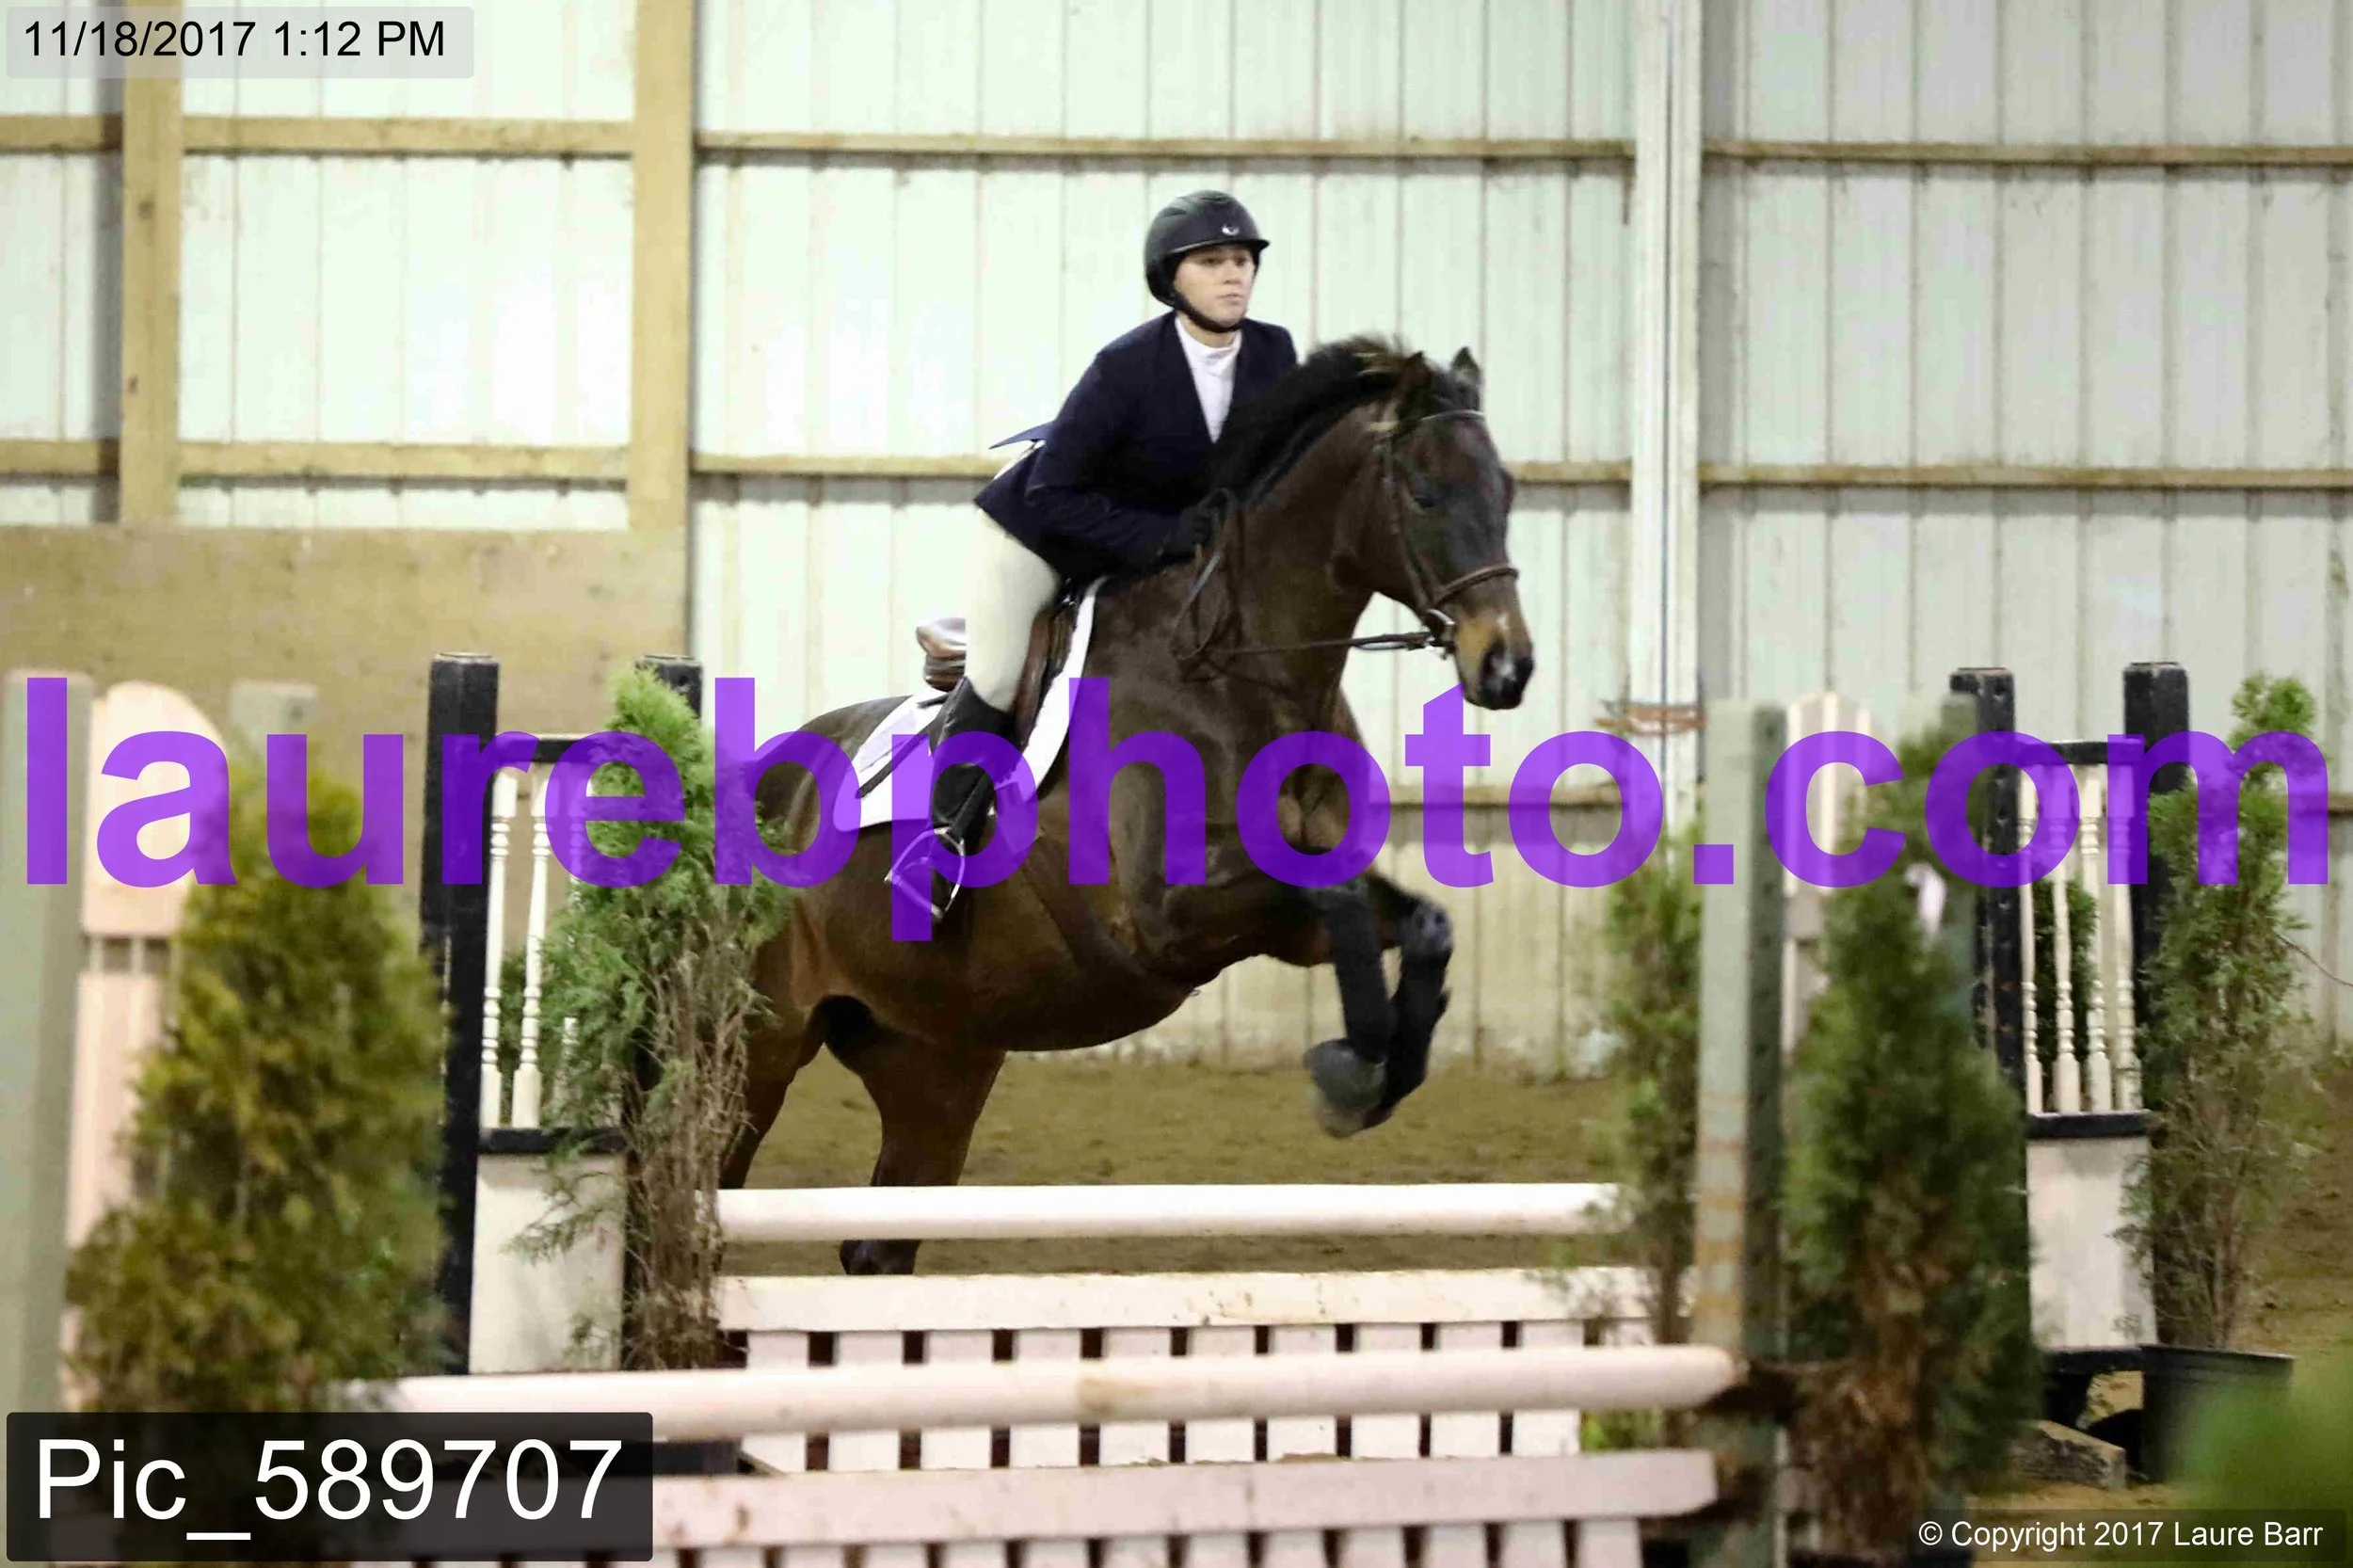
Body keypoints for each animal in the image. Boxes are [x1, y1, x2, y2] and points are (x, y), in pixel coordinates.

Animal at [732, 335, 1535, 1275]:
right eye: (1424, 493)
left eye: (1507, 492)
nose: (1506, 668)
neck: (1238, 674)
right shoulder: (1167, 918)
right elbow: (1333, 898)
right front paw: (1351, 1069)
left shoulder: (1286, 923)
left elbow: (1416, 925)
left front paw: (1378, 1069)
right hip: (759, 1046)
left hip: (936, 1056)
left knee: (875, 1247)